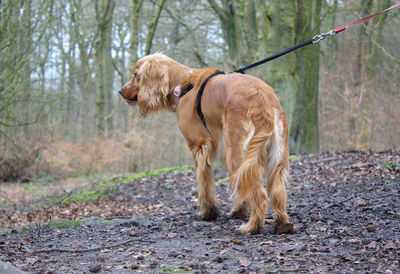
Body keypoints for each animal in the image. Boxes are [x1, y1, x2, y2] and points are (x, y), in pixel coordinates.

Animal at [119, 54, 294, 235]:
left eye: (136, 75)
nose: (120, 90)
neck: (181, 84)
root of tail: (261, 98)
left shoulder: (199, 146)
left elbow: (204, 183)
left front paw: (208, 213)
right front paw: (238, 211)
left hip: (236, 153)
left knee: (260, 192)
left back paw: (253, 226)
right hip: (273, 155)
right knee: (276, 190)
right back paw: (282, 224)